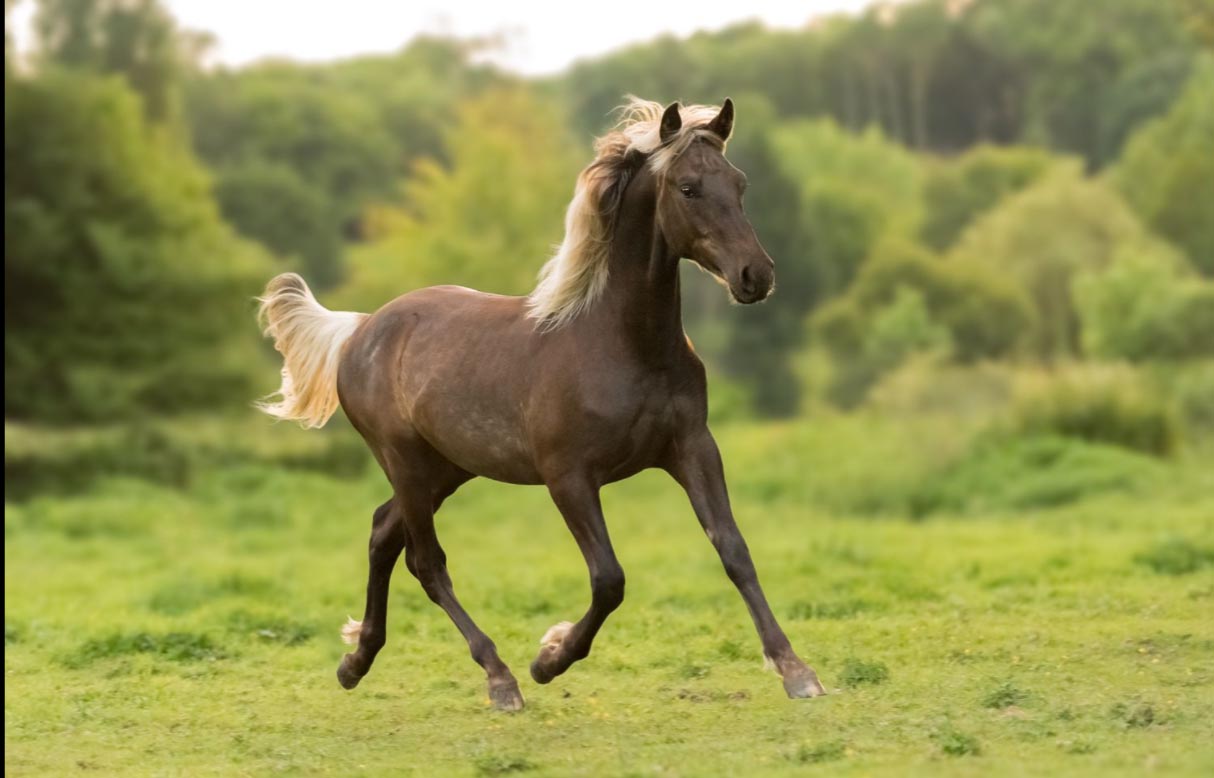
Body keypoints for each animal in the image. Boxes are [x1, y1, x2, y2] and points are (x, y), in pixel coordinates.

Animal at [254, 97, 825, 708]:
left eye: (739, 183)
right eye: (688, 187)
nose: (755, 275)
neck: (623, 344)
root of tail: (359, 329)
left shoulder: (693, 449)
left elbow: (734, 551)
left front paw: (796, 670)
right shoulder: (568, 477)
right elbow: (609, 579)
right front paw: (549, 659)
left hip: (447, 468)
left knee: (384, 532)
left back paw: (356, 661)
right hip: (405, 461)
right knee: (425, 561)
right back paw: (499, 677)